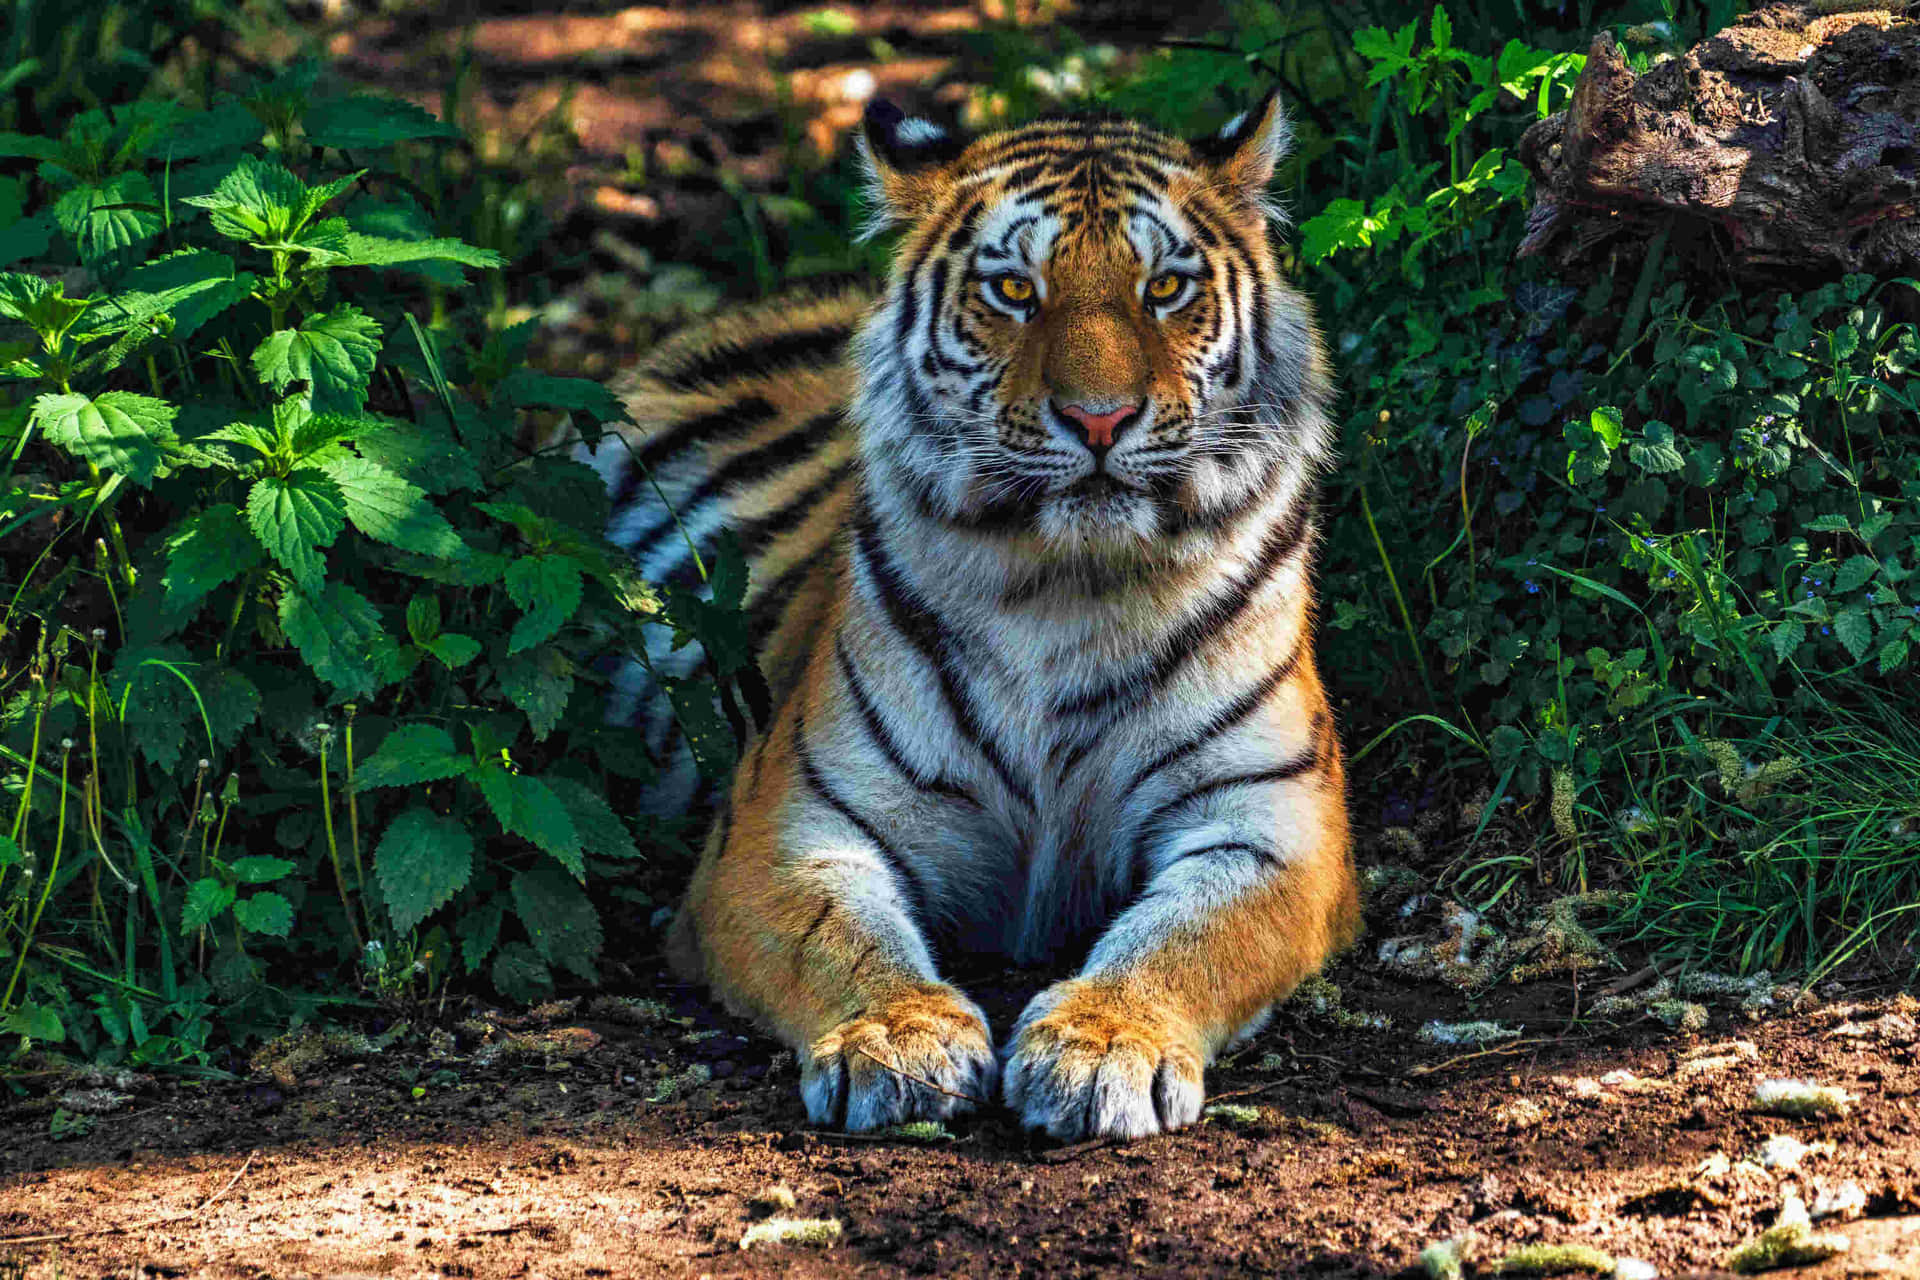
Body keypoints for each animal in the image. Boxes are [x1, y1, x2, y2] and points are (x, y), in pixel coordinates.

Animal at [591, 94, 1359, 1143]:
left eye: (1164, 287)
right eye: (1012, 291)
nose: (1100, 419)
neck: (1070, 592)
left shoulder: (1270, 820)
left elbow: (1190, 937)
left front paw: (1102, 1045)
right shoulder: (789, 823)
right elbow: (839, 937)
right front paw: (898, 1037)